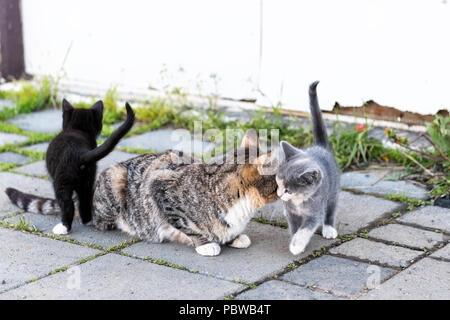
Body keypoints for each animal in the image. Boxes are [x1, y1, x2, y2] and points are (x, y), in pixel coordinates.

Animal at [5, 99, 135, 234]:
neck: (78, 129)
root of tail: (79, 153)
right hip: (87, 178)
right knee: (85, 198)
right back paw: (87, 220)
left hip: (61, 181)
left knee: (67, 203)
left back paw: (63, 227)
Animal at [276, 82, 340, 255]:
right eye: (278, 183)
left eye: (288, 190)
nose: (279, 195)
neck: (299, 201)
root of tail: (320, 146)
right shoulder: (291, 213)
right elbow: (294, 228)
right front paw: (294, 239)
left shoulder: (315, 213)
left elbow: (305, 230)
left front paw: (296, 245)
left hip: (333, 191)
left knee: (331, 209)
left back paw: (329, 228)